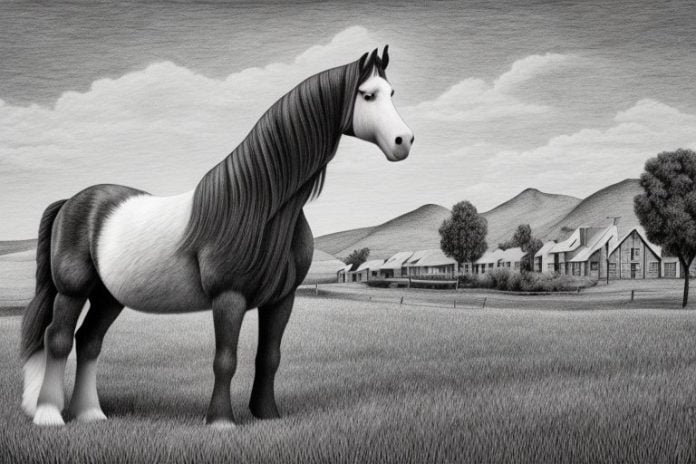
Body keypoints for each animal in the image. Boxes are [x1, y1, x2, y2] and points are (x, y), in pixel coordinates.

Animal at [20, 46, 413, 427]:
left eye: (392, 92)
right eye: (367, 95)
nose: (404, 141)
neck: (258, 206)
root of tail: (73, 202)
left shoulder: (281, 300)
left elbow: (269, 356)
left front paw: (266, 413)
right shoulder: (229, 298)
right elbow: (225, 359)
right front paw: (221, 421)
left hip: (108, 297)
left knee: (88, 342)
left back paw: (91, 414)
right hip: (73, 291)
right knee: (57, 339)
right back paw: (49, 415)